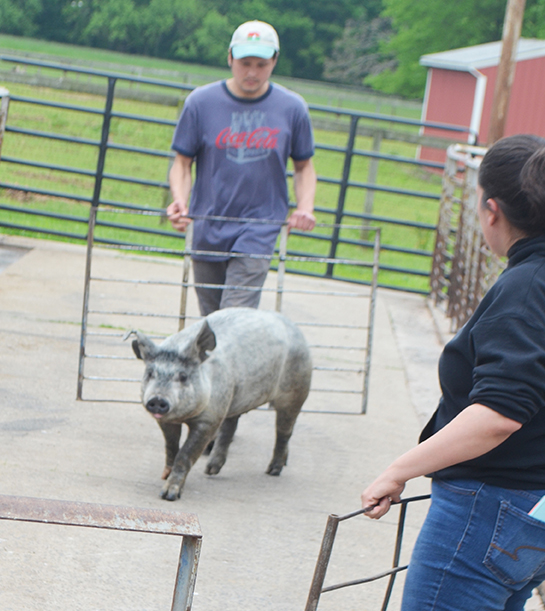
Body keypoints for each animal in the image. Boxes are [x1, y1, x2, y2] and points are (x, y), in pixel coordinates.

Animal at [129, 308, 310, 500]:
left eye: (183, 376)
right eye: (150, 374)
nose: (157, 399)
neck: (185, 417)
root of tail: (296, 330)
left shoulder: (211, 418)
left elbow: (185, 454)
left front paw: (168, 495)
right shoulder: (166, 420)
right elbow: (171, 447)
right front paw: (165, 475)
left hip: (296, 391)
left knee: (284, 431)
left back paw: (273, 471)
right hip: (232, 398)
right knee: (230, 428)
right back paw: (210, 470)